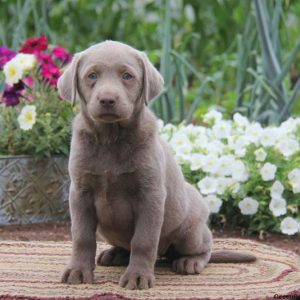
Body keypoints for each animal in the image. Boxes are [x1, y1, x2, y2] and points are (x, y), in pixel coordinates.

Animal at [58, 41, 255, 290]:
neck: (111, 138)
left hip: (190, 231)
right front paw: (78, 271)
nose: (107, 100)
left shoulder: (150, 194)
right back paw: (115, 254)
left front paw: (137, 277)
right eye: (92, 76)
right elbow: (82, 236)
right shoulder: (80, 193)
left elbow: (143, 240)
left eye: (127, 76)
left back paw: (189, 262)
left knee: (204, 246)